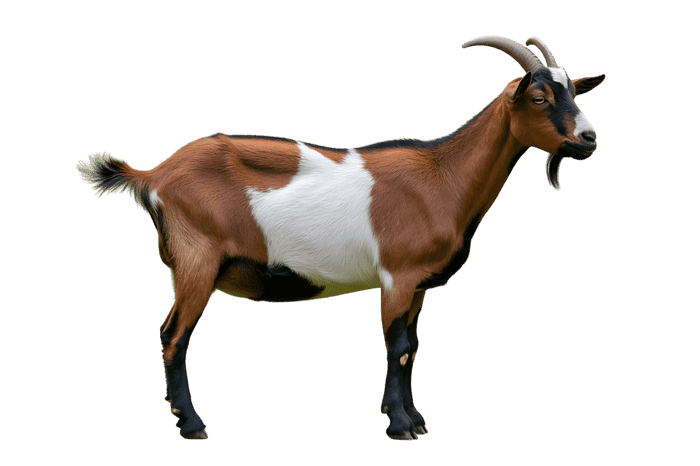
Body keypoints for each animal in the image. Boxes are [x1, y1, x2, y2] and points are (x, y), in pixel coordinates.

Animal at [76, 36, 605, 441]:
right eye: (538, 98)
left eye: (574, 94)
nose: (589, 138)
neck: (443, 177)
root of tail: (154, 174)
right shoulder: (396, 275)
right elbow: (397, 346)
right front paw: (400, 425)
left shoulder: (418, 286)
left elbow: (415, 345)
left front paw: (412, 416)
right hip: (196, 260)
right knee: (173, 335)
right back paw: (191, 424)